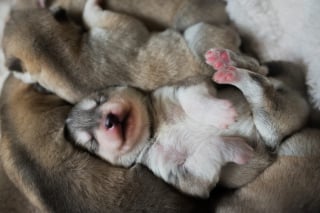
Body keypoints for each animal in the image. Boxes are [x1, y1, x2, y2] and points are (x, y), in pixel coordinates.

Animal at [65, 50, 310, 197]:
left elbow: (192, 100)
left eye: (100, 100)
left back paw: (226, 62)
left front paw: (220, 114)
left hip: (273, 119)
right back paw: (230, 70)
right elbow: (207, 154)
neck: (155, 129)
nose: (110, 121)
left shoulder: (184, 86)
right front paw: (237, 149)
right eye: (92, 142)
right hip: (271, 123)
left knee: (259, 73)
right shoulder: (182, 175)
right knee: (259, 84)